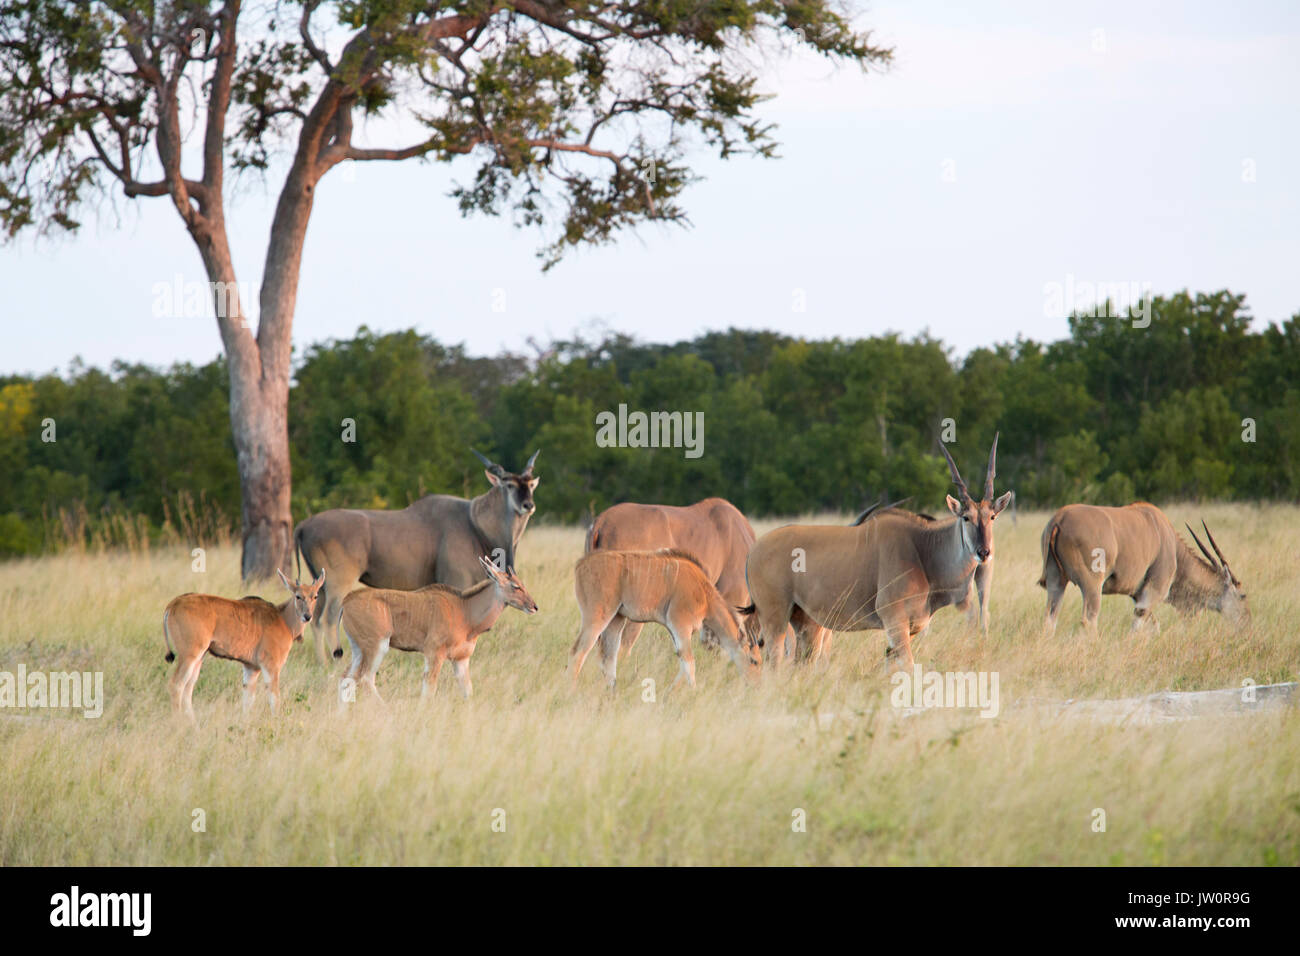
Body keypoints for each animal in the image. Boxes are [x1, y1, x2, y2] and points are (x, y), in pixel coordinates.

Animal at [162, 567, 325, 717]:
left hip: (199, 657)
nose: (307, 616)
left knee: (188, 689)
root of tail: (173, 604)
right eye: (298, 596)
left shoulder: (251, 668)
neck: (283, 619)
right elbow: (274, 700)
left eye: (315, 596)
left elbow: (248, 702)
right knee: (176, 685)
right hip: (189, 655)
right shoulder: (270, 666)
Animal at [340, 554, 538, 702]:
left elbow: (468, 692)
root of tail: (347, 600)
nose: (534, 607)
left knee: (346, 678)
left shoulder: (461, 660)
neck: (464, 610)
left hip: (358, 649)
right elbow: (429, 690)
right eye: (516, 586)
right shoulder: (434, 654)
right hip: (377, 646)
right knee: (366, 678)